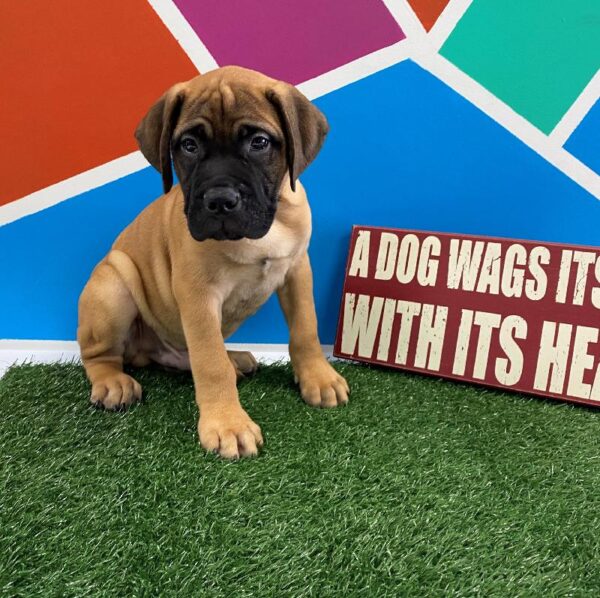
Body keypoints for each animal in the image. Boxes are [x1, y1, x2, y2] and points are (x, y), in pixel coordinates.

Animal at [79, 64, 352, 460]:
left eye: (259, 143)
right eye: (189, 146)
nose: (220, 200)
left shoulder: (297, 270)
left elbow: (306, 328)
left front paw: (318, 377)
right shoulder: (198, 295)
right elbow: (209, 364)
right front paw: (227, 424)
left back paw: (235, 359)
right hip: (113, 282)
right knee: (100, 355)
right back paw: (113, 382)